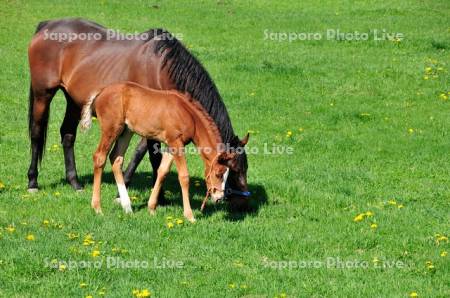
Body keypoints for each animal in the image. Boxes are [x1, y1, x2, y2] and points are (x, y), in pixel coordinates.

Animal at [27, 17, 250, 206]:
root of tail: (46, 25)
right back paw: (32, 182)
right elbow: (149, 155)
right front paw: (147, 196)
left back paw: (75, 182)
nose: (242, 203)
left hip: (73, 100)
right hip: (43, 94)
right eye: (232, 170)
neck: (160, 69)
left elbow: (144, 153)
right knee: (37, 133)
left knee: (67, 135)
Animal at [81, 82, 237, 222]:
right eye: (218, 174)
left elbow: (162, 171)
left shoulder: (170, 145)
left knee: (116, 159)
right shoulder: (176, 143)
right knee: (100, 157)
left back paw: (127, 207)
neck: (188, 115)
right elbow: (184, 177)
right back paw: (97, 208)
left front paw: (151, 208)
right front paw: (190, 216)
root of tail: (101, 92)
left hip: (126, 131)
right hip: (111, 129)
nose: (219, 198)